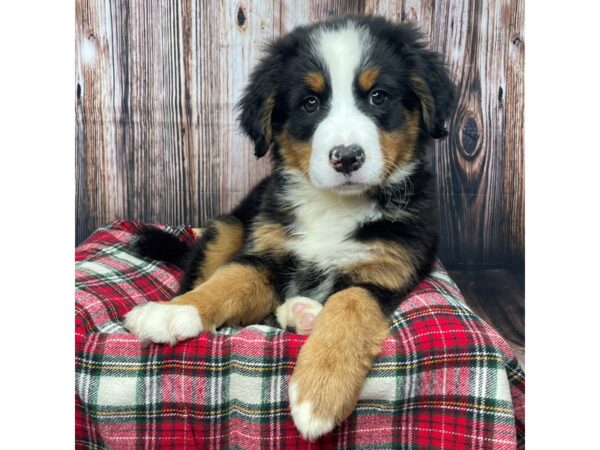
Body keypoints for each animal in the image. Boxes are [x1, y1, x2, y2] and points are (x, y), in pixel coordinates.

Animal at [125, 15, 454, 442]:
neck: (335, 206)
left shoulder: (386, 271)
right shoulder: (267, 252)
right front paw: (172, 313)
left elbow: (350, 306)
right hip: (229, 226)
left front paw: (319, 392)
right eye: (310, 103)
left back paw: (303, 313)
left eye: (378, 97)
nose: (347, 157)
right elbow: (228, 281)